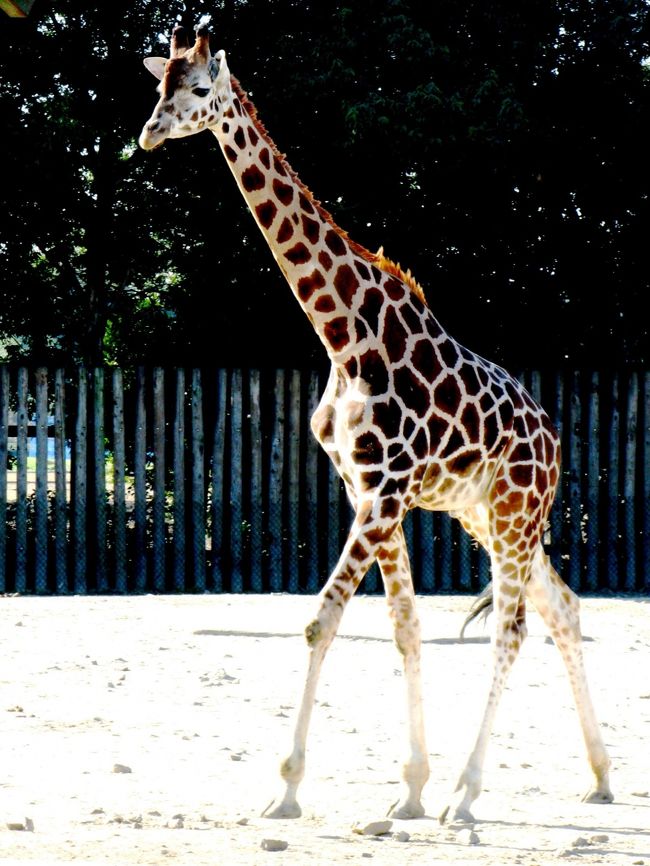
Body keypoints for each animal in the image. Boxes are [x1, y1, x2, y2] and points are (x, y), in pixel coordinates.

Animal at [139, 23, 612, 820]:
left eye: (199, 88)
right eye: (158, 84)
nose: (147, 133)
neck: (342, 333)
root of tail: (552, 440)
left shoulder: (387, 489)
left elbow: (322, 619)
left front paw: (287, 790)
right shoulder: (365, 488)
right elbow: (404, 627)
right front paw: (408, 791)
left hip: (516, 514)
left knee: (513, 628)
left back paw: (468, 794)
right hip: (487, 515)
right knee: (564, 608)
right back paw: (600, 777)